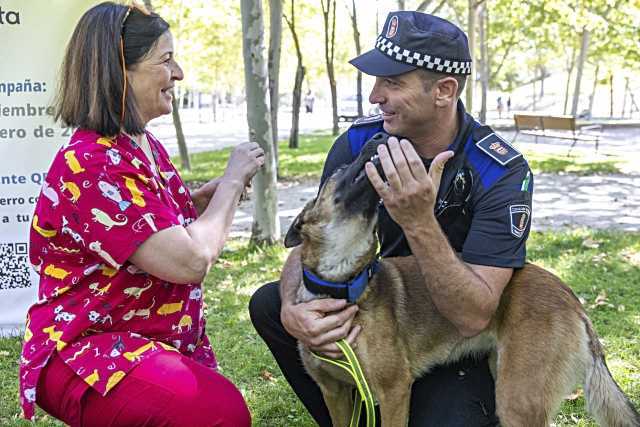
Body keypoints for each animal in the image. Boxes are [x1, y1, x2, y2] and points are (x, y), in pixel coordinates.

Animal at [286, 135, 640, 427]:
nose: (377, 136)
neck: (343, 285)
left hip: (516, 399)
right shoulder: (334, 392)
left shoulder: (394, 390)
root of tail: (572, 299)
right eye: (341, 168)